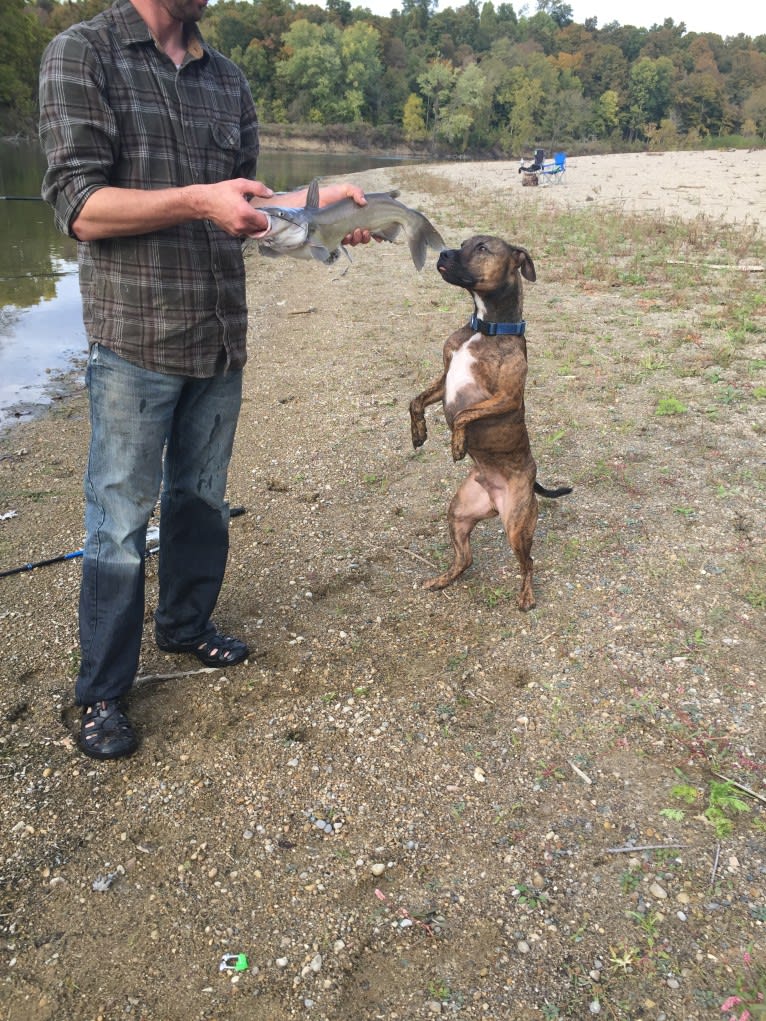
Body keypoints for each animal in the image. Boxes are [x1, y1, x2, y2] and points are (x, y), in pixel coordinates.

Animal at [408, 234, 571, 608]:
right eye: (464, 243)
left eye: (482, 248)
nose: (443, 253)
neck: (485, 328)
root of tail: (496, 496)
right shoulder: (444, 379)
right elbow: (415, 401)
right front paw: (418, 433)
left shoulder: (505, 397)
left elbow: (464, 414)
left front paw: (457, 444)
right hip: (460, 512)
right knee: (465, 558)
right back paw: (443, 579)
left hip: (517, 525)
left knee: (529, 562)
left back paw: (527, 596)